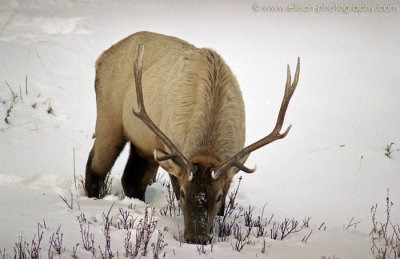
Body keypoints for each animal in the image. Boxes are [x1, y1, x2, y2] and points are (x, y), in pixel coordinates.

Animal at [86, 31, 300, 245]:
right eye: (182, 193)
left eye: (218, 197)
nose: (196, 238)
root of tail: (101, 58)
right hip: (109, 120)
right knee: (95, 168)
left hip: (145, 144)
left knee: (132, 179)